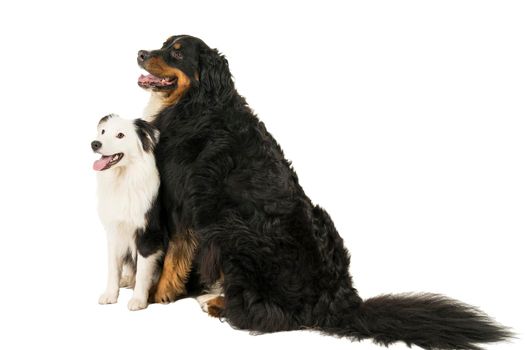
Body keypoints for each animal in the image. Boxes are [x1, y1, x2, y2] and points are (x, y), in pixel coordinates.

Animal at [92, 113, 165, 310]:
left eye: (120, 135)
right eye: (103, 131)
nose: (95, 144)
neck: (123, 180)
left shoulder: (147, 233)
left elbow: (143, 270)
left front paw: (139, 299)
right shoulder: (114, 230)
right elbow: (112, 268)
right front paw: (110, 294)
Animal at [133, 35, 510, 350]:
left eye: (176, 51)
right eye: (163, 44)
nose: (140, 53)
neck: (196, 104)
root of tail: (339, 300)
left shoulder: (184, 201)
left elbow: (173, 255)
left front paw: (157, 294)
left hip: (238, 231)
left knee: (274, 316)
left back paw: (218, 302)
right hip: (322, 221)